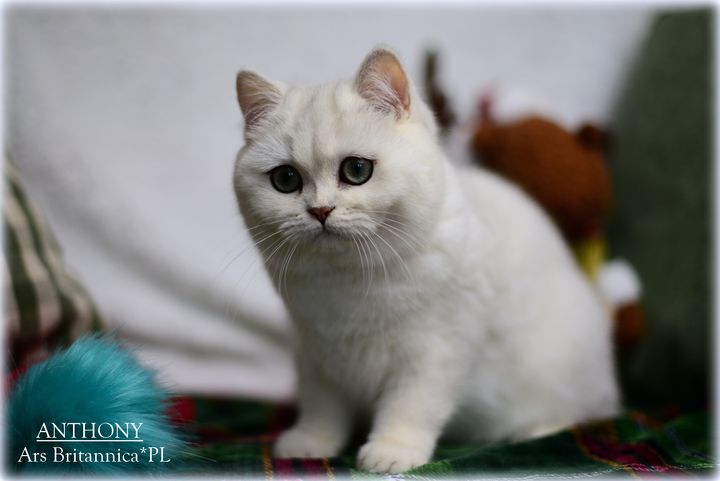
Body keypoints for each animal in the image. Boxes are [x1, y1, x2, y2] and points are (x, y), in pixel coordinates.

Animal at [232, 47, 620, 474]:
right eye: (285, 180)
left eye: (356, 170)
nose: (320, 210)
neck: (349, 279)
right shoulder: (315, 353)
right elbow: (323, 406)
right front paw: (311, 442)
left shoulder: (436, 352)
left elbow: (412, 405)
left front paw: (392, 450)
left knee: (573, 413)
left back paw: (533, 431)